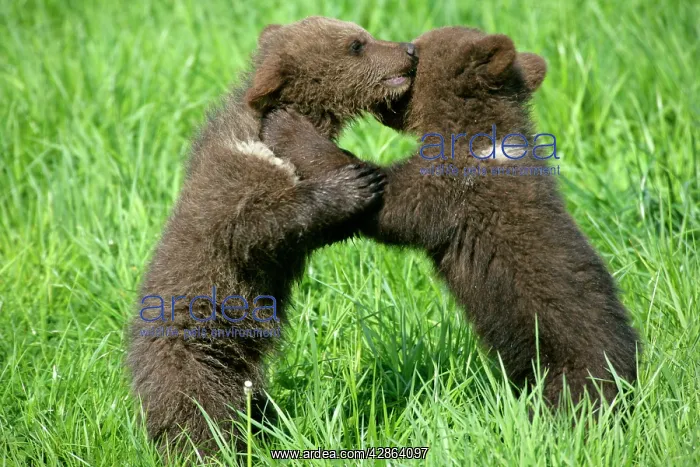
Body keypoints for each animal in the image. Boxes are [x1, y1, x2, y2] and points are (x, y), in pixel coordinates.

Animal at [126, 16, 417, 456]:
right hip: (196, 353)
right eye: (356, 44)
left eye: (363, 34)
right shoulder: (236, 184)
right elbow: (258, 225)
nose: (410, 49)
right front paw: (353, 184)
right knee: (198, 411)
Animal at [263, 26, 640, 410]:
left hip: (566, 361)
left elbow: (390, 203)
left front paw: (288, 124)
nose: (407, 49)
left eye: (418, 50)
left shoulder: (453, 189)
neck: (474, 136)